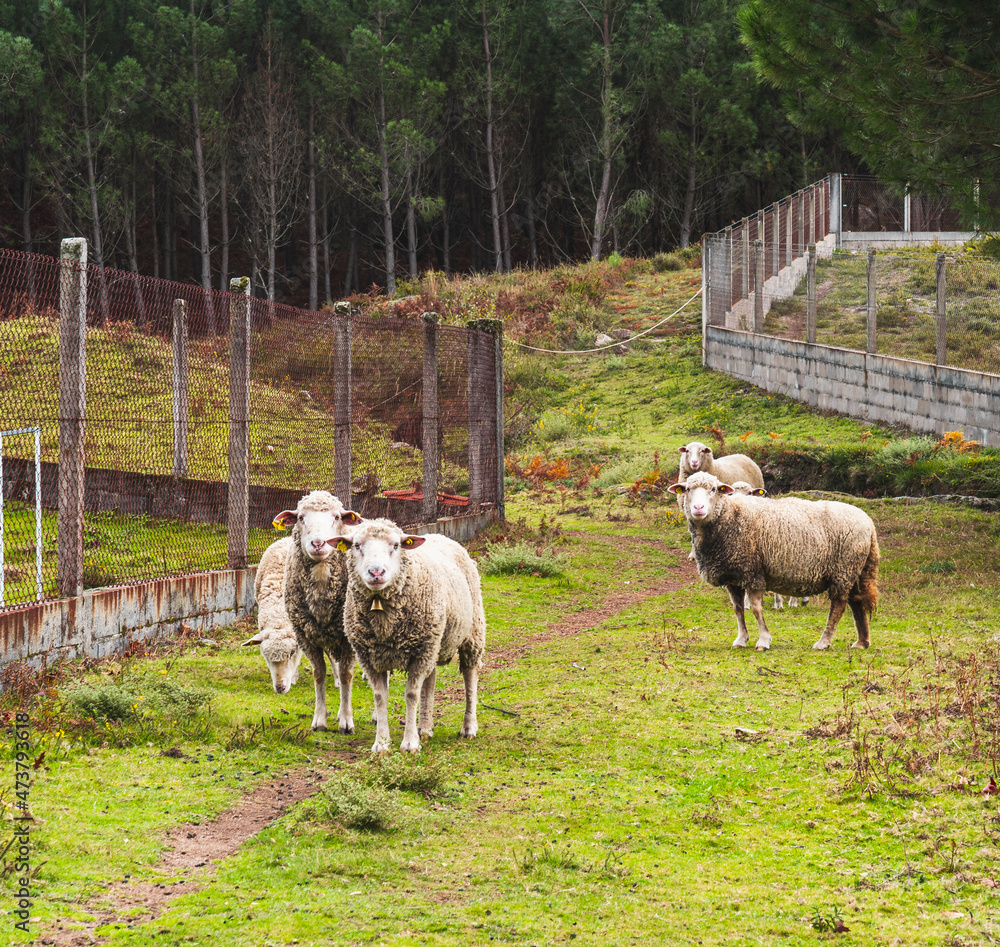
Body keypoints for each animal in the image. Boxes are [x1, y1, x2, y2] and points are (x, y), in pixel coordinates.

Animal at [272, 491, 362, 732]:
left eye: (336, 517)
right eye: (301, 517)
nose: (318, 543)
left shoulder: (347, 637)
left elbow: (347, 675)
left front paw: (347, 720)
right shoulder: (306, 637)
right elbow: (319, 674)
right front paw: (320, 719)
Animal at [327, 518, 486, 754]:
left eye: (395, 545)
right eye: (356, 545)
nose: (376, 573)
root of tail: (441, 535)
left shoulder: (419, 653)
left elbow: (411, 694)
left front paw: (409, 743)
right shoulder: (370, 657)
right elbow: (380, 696)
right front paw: (381, 743)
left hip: (471, 632)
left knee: (470, 675)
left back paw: (468, 727)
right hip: (433, 642)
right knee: (430, 681)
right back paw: (425, 727)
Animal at [668, 472, 878, 651]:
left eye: (713, 489)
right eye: (687, 489)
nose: (698, 508)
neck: (730, 516)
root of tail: (868, 522)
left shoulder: (752, 571)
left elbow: (756, 608)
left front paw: (763, 641)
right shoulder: (733, 576)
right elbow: (738, 609)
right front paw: (741, 639)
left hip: (843, 568)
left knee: (838, 605)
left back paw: (823, 642)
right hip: (855, 569)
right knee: (857, 601)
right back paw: (862, 642)